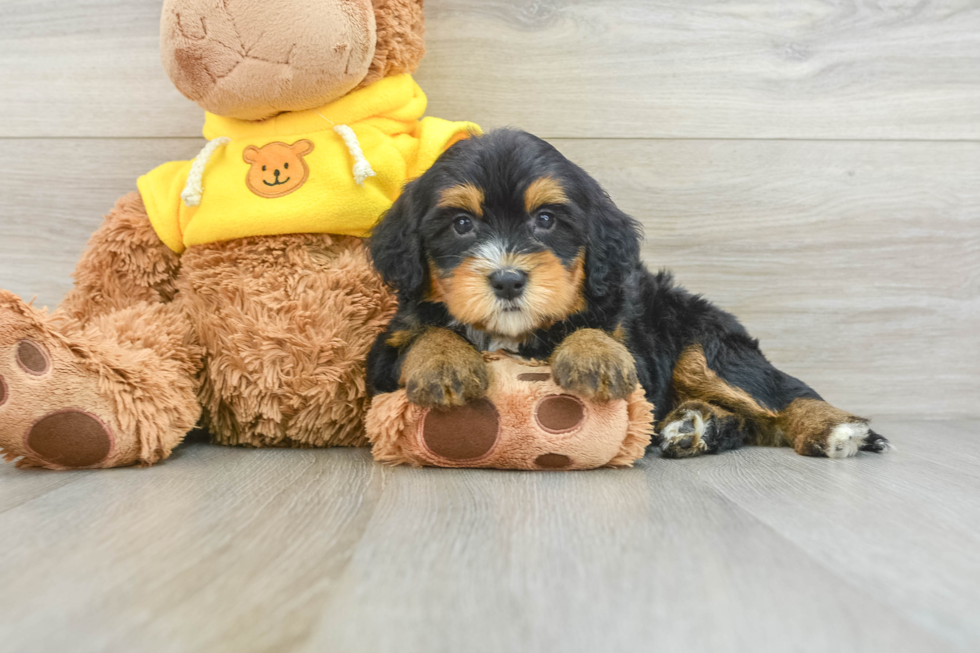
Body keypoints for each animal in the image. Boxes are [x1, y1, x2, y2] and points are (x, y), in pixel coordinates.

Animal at [366, 129, 888, 458]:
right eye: (461, 225)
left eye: (546, 220)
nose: (508, 279)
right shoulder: (382, 357)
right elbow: (420, 338)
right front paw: (444, 362)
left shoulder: (637, 347)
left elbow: (602, 335)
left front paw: (594, 356)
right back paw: (695, 425)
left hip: (704, 345)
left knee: (780, 393)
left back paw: (834, 429)